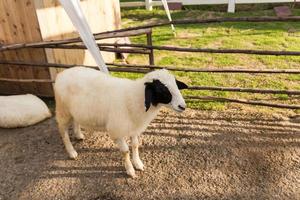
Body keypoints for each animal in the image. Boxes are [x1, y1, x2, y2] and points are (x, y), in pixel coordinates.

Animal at [52, 66, 186, 177]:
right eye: (162, 89)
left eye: (176, 85)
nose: (183, 106)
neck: (134, 98)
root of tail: (62, 73)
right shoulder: (117, 131)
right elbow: (125, 151)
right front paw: (130, 170)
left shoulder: (134, 128)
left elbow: (135, 145)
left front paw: (138, 164)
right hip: (62, 110)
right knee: (63, 132)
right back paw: (71, 152)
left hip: (74, 110)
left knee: (75, 121)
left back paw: (78, 135)